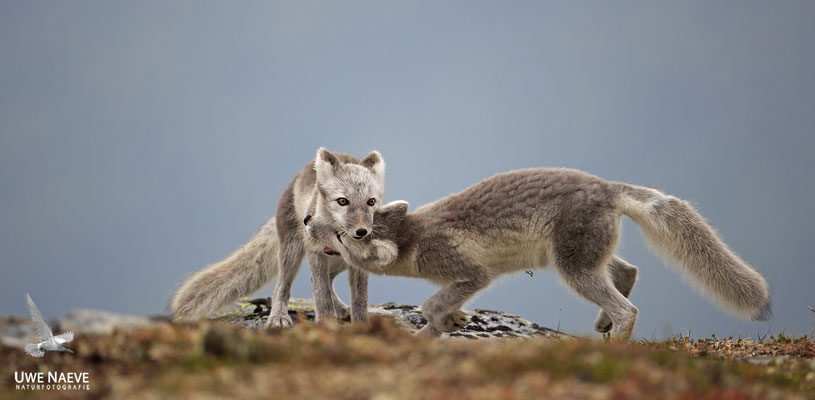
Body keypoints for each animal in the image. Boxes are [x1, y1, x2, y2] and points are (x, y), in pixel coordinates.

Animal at [170, 148, 386, 328]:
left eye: (371, 201)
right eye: (342, 201)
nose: (362, 232)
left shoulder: (360, 262)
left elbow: (359, 300)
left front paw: (361, 327)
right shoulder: (314, 252)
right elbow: (321, 294)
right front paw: (326, 324)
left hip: (339, 261)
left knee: (318, 280)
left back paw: (341, 309)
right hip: (291, 251)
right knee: (281, 287)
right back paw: (278, 317)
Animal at [303, 167, 771, 340]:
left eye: (344, 234)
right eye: (340, 207)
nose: (307, 222)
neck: (415, 235)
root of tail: (607, 185)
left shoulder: (473, 275)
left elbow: (431, 304)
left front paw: (439, 323)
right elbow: (438, 313)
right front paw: (444, 327)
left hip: (573, 268)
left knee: (629, 310)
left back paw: (615, 344)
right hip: (583, 260)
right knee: (629, 272)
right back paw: (602, 325)